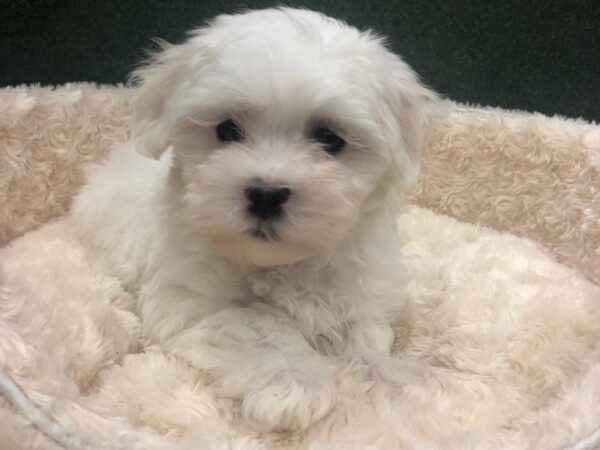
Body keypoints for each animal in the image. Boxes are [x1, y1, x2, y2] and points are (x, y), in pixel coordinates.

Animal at [71, 7, 436, 432]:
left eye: (330, 138)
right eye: (227, 129)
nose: (266, 194)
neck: (281, 263)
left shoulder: (360, 286)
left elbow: (364, 331)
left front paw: (382, 372)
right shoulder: (190, 300)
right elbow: (253, 326)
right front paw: (294, 383)